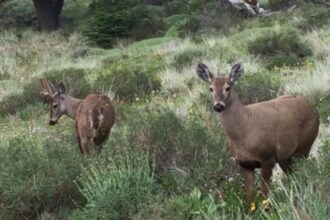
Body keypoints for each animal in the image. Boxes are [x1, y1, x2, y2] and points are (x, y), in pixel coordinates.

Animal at [196, 62, 320, 211]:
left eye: (227, 87)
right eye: (211, 88)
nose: (218, 106)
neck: (243, 134)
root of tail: (313, 108)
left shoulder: (268, 157)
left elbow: (264, 190)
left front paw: (267, 210)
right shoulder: (243, 163)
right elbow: (250, 193)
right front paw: (250, 212)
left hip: (305, 145)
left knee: (303, 170)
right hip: (285, 156)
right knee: (292, 173)